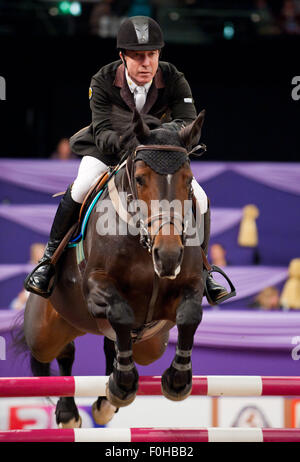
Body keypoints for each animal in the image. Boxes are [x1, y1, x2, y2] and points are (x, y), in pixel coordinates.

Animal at [21, 108, 206, 426]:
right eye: (141, 179)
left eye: (188, 179)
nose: (168, 256)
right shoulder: (97, 285)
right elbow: (120, 312)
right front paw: (122, 384)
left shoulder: (189, 286)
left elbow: (190, 315)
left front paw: (178, 379)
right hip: (44, 332)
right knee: (60, 352)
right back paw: (69, 411)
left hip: (150, 345)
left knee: (113, 343)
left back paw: (104, 402)